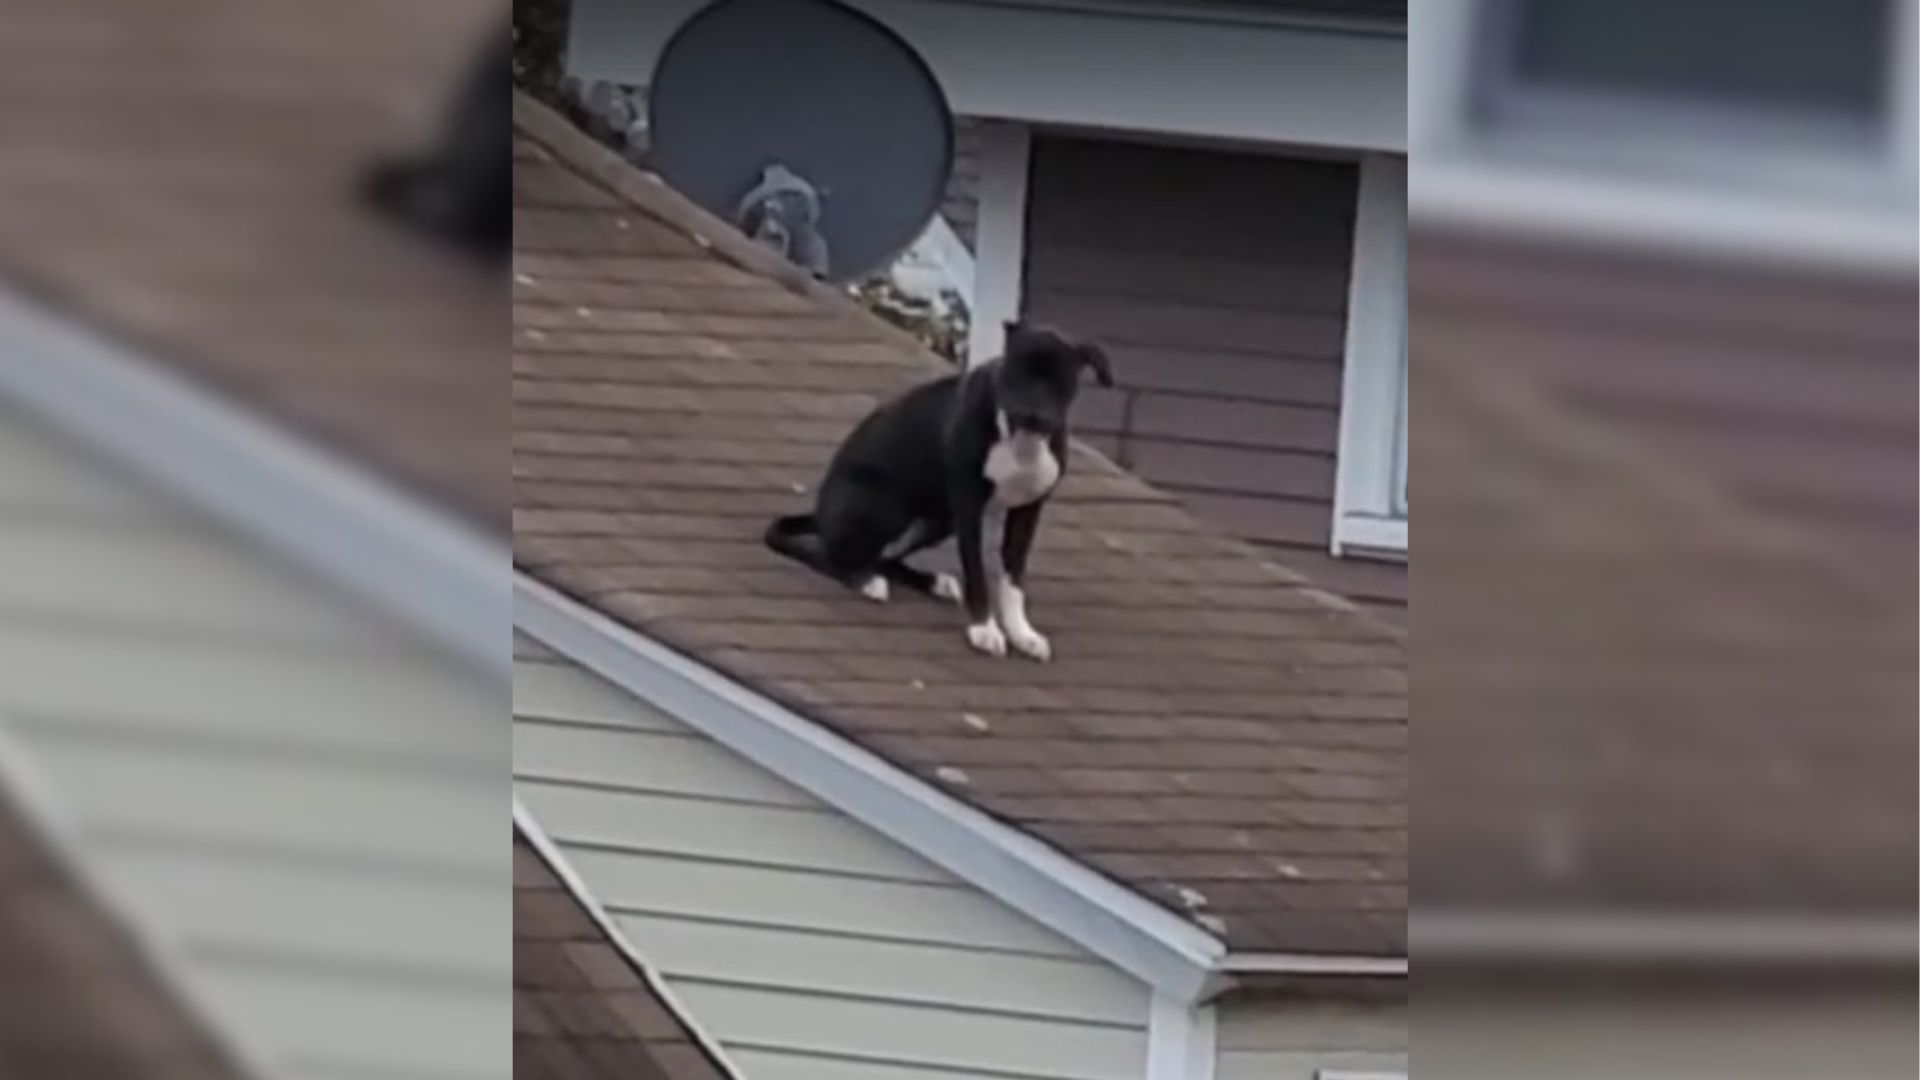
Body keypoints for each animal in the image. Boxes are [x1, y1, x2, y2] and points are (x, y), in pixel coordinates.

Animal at [771, 319, 1121, 657]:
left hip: (939, 522)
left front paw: (1021, 633)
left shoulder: (1027, 512)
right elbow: (977, 574)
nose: (1030, 413)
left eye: (1058, 380)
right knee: (833, 555)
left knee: (883, 557)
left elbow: (1013, 582)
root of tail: (819, 513)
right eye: (1015, 371)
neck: (1020, 441)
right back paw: (864, 581)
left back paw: (930, 582)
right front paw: (984, 629)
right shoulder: (969, 507)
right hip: (883, 506)